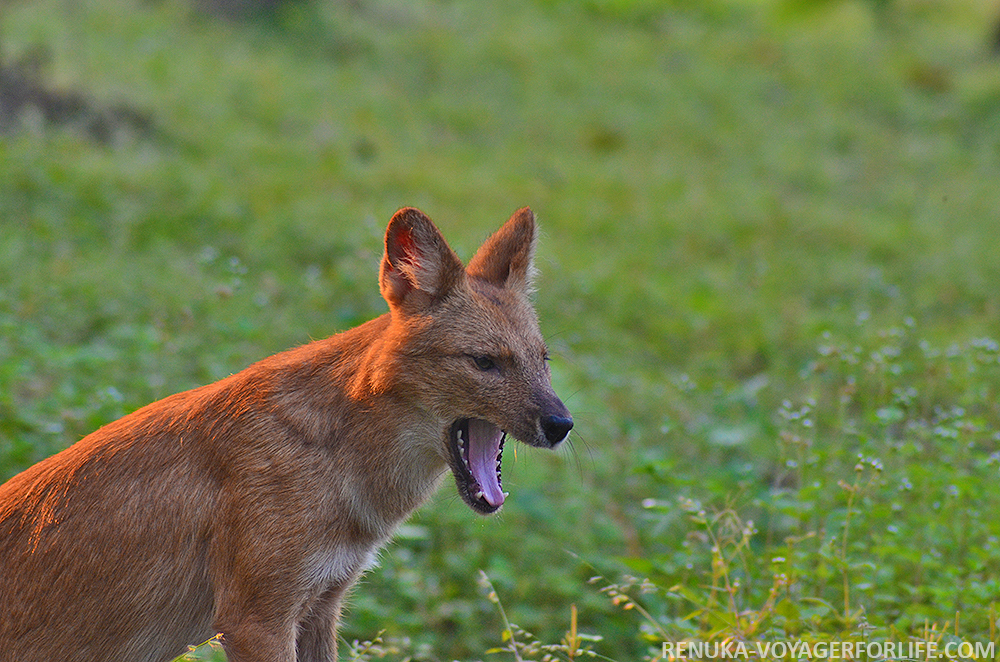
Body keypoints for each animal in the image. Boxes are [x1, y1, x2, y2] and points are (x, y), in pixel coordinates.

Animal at [0, 208, 576, 662]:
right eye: (484, 362)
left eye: (542, 360)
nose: (562, 425)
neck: (338, 456)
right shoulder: (256, 620)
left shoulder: (321, 606)